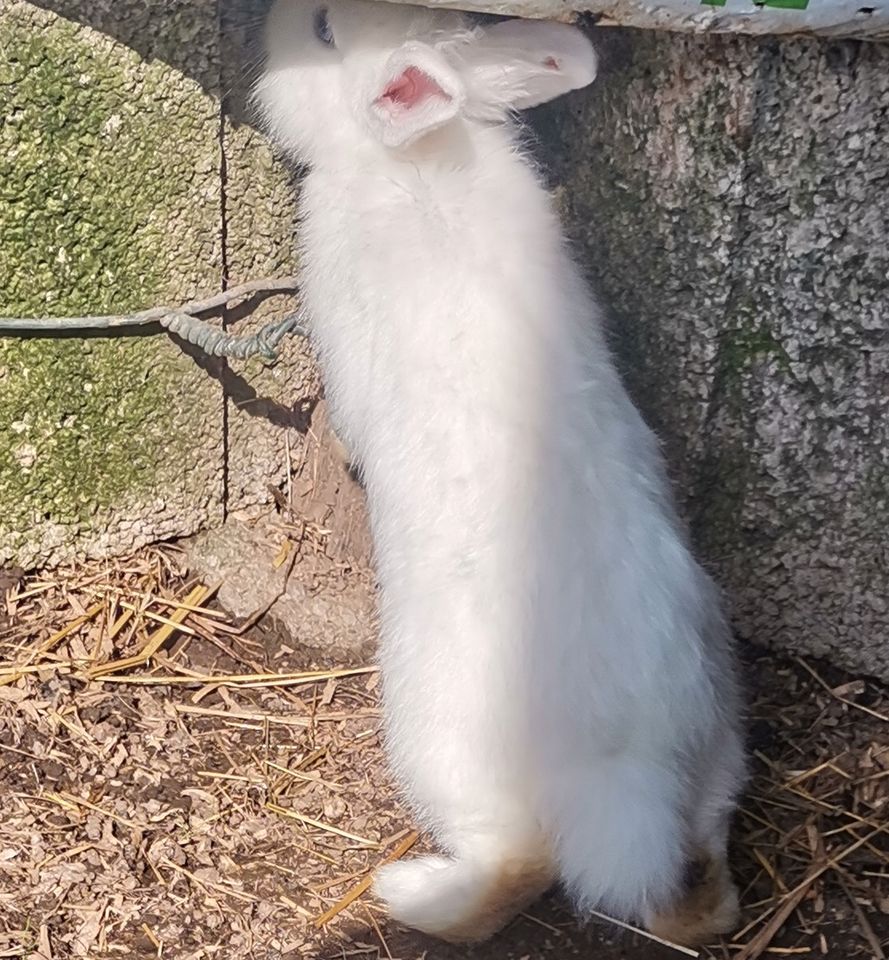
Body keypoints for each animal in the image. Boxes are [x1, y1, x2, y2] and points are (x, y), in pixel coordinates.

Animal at [253, 0, 744, 944]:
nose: (266, 19)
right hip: (717, 733)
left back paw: (407, 893)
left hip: (440, 739)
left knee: (512, 870)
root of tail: (626, 780)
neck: (410, 158)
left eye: (324, 30)